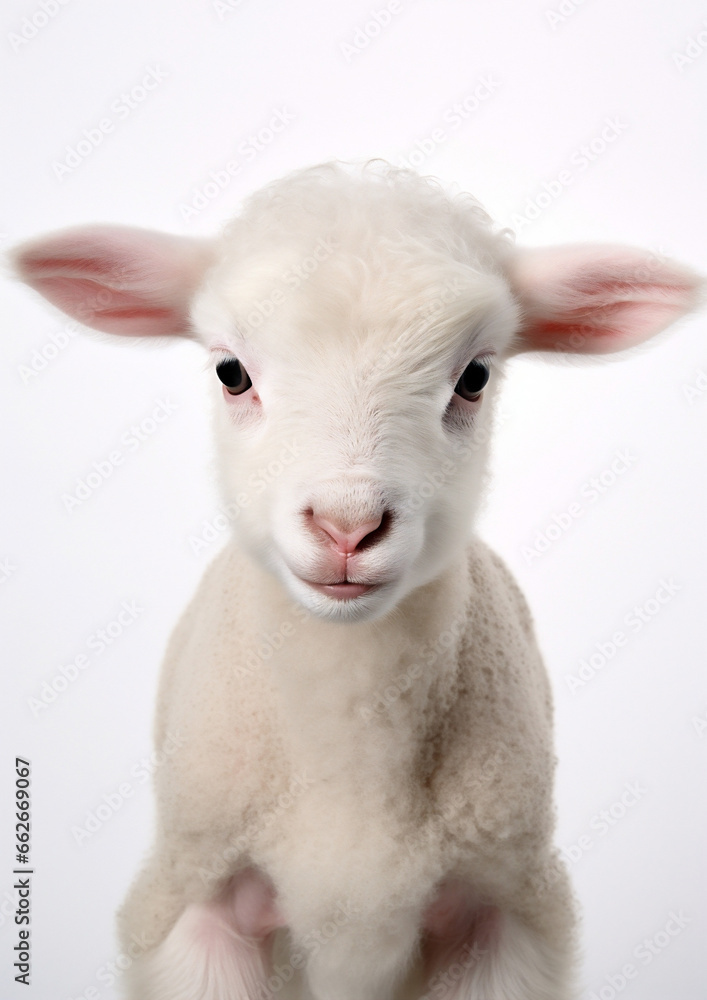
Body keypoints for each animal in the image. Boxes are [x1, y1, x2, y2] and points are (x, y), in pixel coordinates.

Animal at [12, 160, 702, 1000]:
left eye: (474, 377)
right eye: (230, 372)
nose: (346, 527)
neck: (350, 772)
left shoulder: (506, 910)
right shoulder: (192, 901)